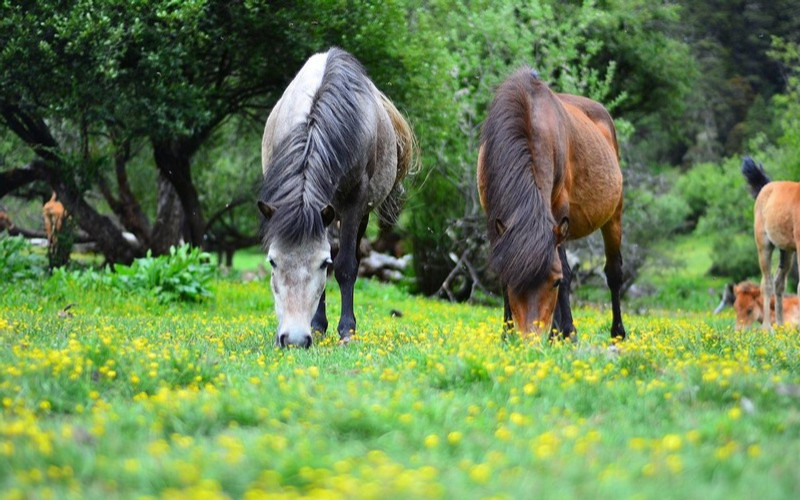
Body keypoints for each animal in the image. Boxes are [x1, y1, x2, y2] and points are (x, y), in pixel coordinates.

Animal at [258, 48, 418, 350]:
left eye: (321, 264)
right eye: (272, 261)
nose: (294, 339)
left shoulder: (355, 202)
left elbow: (343, 265)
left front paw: (346, 330)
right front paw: (318, 325)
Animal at [476, 68, 624, 342]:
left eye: (553, 282)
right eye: (511, 280)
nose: (531, 338)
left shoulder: (558, 212)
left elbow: (566, 271)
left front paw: (566, 332)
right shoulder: (493, 218)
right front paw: (506, 332)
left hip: (614, 216)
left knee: (614, 274)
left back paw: (617, 333)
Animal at [740, 154, 800, 330]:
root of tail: (766, 186)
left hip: (787, 250)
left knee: (778, 282)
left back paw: (780, 325)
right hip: (764, 245)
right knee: (766, 284)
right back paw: (767, 327)